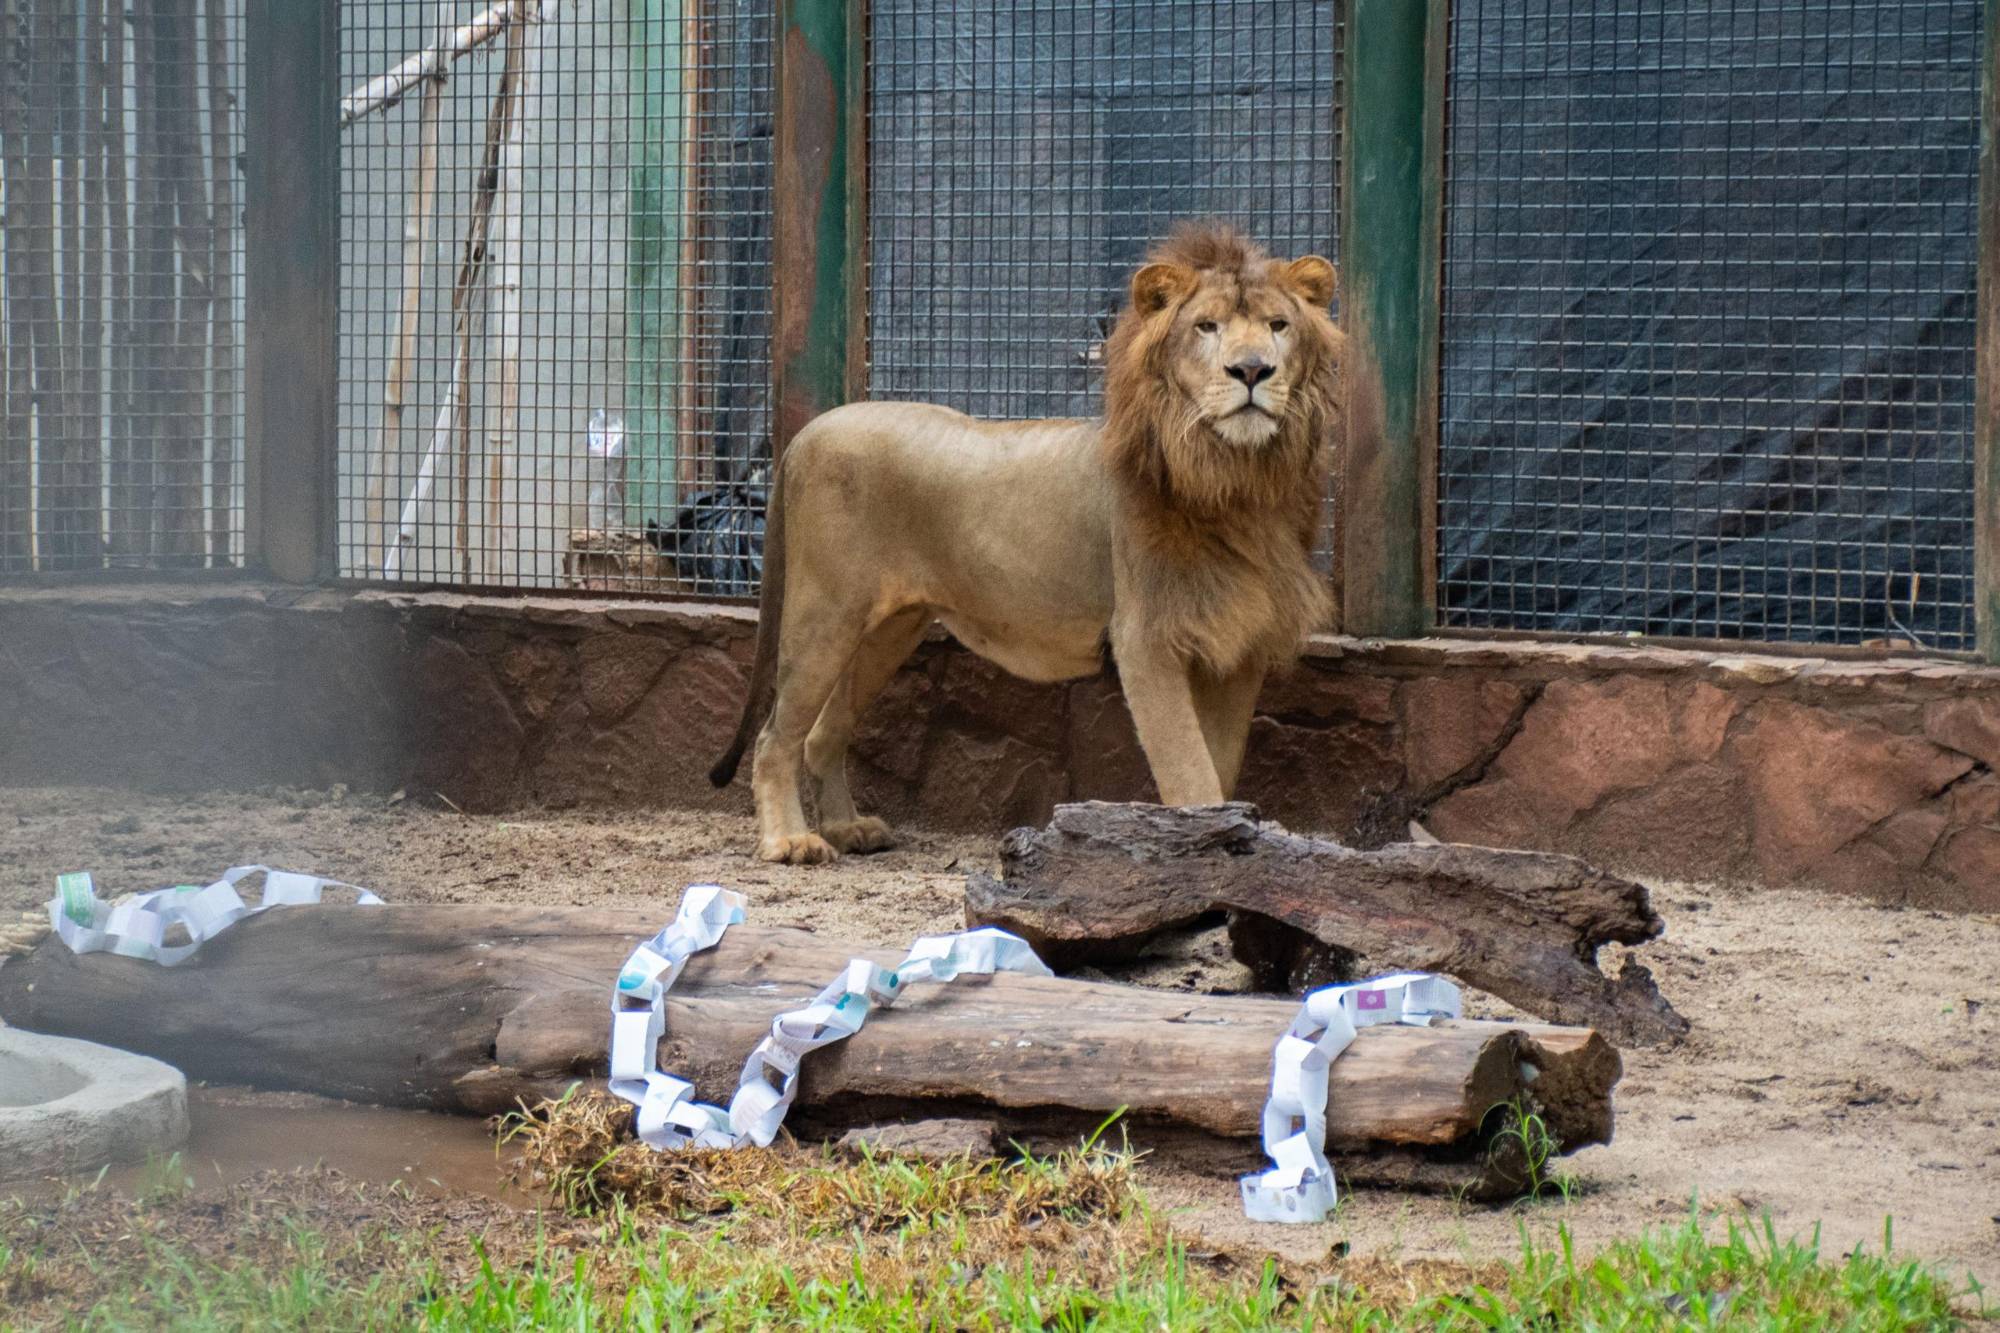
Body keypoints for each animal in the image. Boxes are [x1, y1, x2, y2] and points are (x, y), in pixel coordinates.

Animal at [710, 224, 1341, 863]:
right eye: (1206, 327)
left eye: (1277, 326)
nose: (1252, 370)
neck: (1239, 479)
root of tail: (803, 436)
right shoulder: (1145, 639)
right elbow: (1190, 772)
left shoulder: (1238, 645)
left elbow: (1220, 766)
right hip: (825, 614)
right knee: (776, 737)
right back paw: (790, 840)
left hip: (892, 628)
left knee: (822, 733)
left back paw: (847, 828)